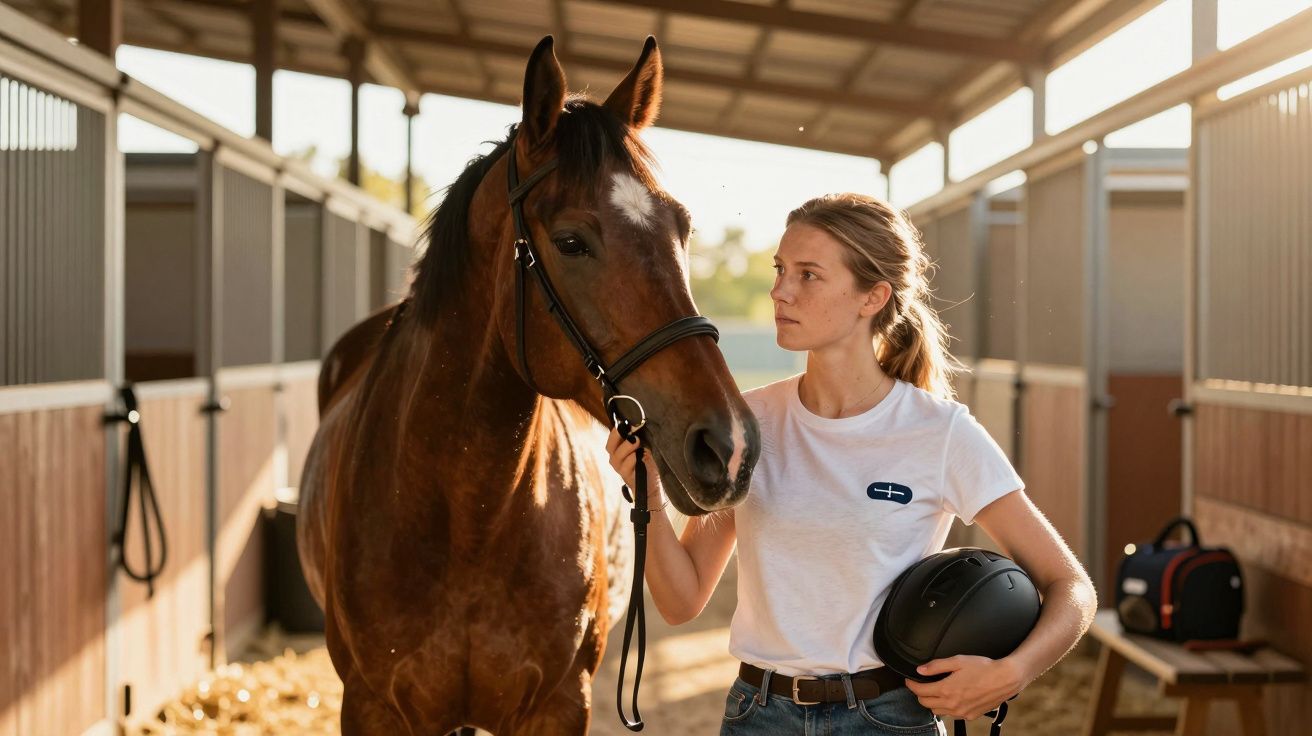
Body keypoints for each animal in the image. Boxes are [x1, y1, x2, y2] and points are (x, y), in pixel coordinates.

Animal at [297, 35, 761, 735]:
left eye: (680, 227)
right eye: (570, 241)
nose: (729, 446)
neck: (466, 517)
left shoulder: (560, 704)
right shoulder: (373, 707)